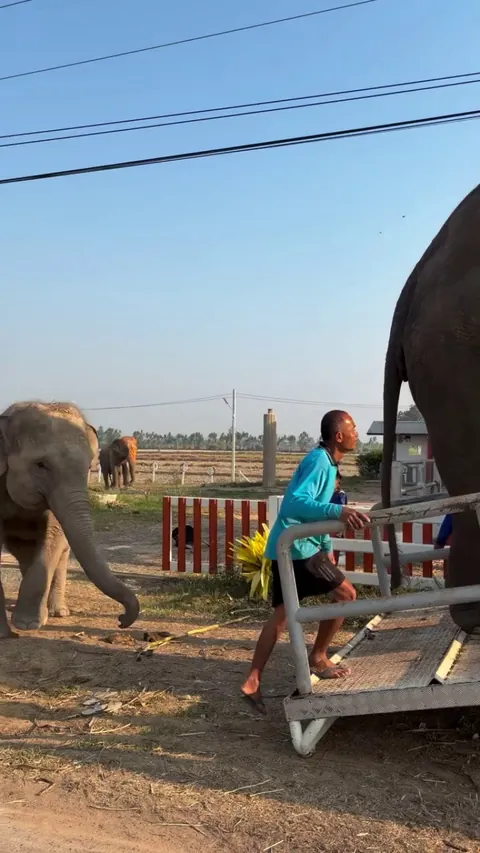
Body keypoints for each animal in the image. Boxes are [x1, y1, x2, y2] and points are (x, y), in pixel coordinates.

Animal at [0, 401, 139, 638]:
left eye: (88, 467)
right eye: (40, 464)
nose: (121, 619)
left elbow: (53, 534)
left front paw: (28, 624)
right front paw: (9, 631)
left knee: (59, 552)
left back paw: (57, 612)